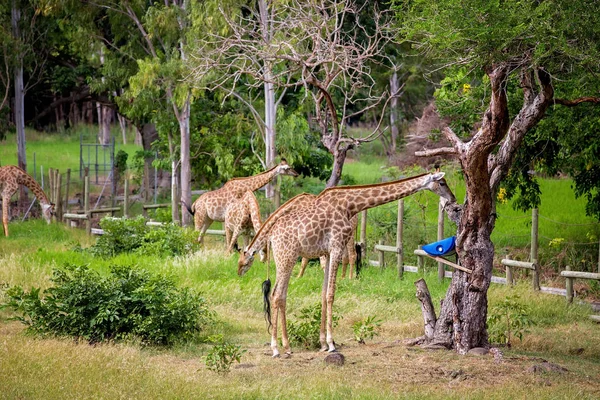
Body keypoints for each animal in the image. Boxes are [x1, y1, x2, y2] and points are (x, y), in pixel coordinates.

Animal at [238, 171, 454, 356]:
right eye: (442, 183)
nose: (452, 199)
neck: (350, 205)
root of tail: (271, 236)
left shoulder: (327, 251)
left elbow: (323, 293)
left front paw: (323, 343)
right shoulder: (335, 246)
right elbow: (331, 293)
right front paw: (331, 344)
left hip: (285, 259)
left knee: (280, 295)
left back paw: (287, 346)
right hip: (287, 257)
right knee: (276, 295)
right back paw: (276, 348)